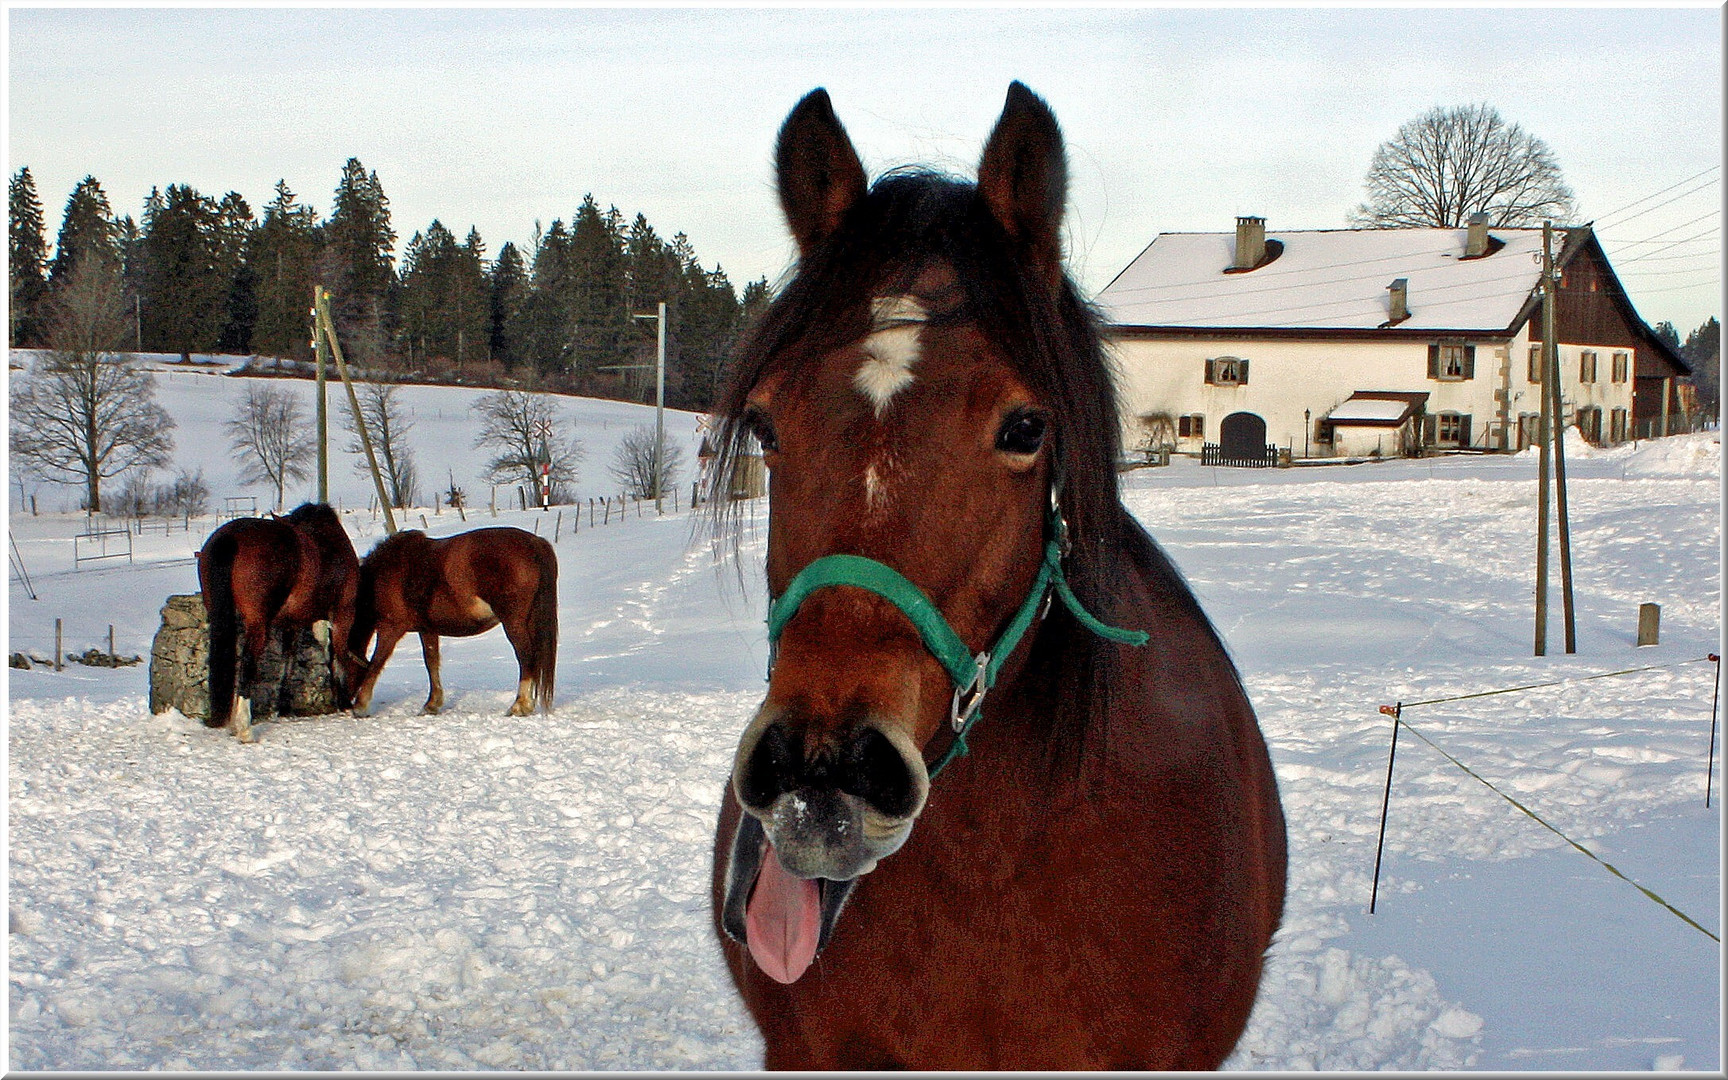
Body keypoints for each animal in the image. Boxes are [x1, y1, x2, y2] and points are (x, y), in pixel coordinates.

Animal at [196, 497, 357, 736]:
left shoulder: (292, 622)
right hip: (258, 624)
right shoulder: (342, 614)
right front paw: (345, 702)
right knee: (247, 662)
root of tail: (231, 536)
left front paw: (283, 707)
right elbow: (336, 654)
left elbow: (288, 661)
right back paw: (244, 727)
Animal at [349, 521, 559, 715]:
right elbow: (431, 662)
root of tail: (534, 542)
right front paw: (432, 704)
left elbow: (376, 662)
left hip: (513, 622)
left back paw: (520, 705)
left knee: (526, 656)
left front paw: (360, 705)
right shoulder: (427, 629)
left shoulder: (390, 628)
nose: (345, 704)